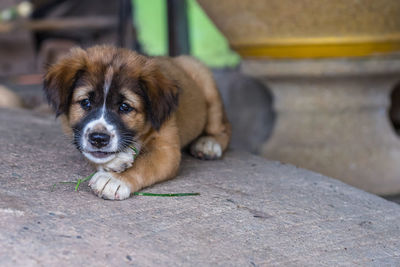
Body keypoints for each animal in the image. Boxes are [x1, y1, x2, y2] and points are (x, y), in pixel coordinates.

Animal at [43, 45, 231, 201]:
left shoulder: (166, 151)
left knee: (224, 128)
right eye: (86, 102)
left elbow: (144, 164)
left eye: (125, 107)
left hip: (207, 86)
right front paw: (116, 161)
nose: (98, 139)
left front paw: (114, 180)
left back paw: (208, 144)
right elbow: (90, 153)